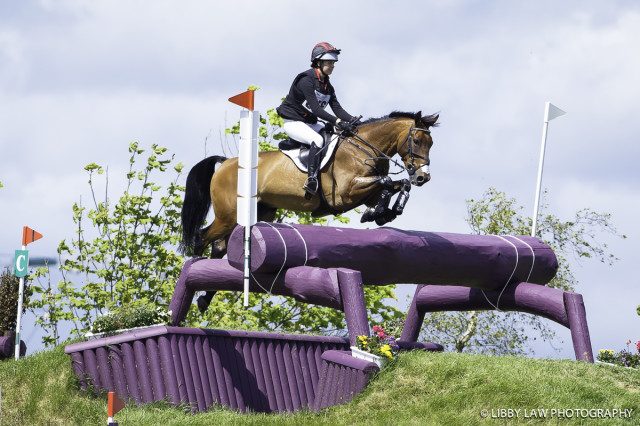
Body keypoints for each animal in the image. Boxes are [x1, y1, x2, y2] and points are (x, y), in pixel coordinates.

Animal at [182, 111, 438, 312]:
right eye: (416, 141)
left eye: (431, 144)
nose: (423, 177)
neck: (364, 148)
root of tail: (225, 162)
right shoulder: (344, 194)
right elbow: (386, 181)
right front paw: (380, 212)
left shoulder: (367, 193)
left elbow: (397, 185)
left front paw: (383, 213)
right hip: (228, 216)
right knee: (202, 238)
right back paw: (191, 279)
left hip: (259, 213)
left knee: (220, 247)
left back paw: (205, 298)